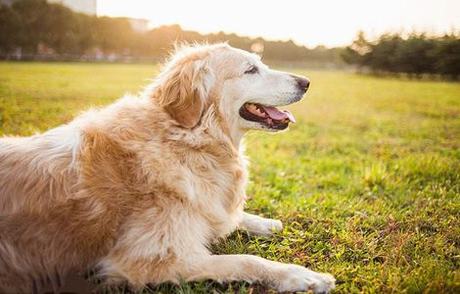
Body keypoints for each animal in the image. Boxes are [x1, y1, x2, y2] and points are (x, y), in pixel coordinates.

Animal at [0, 42, 334, 292]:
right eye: (250, 70)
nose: (306, 82)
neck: (186, 138)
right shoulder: (152, 259)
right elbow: (245, 260)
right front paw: (302, 276)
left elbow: (227, 216)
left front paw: (264, 223)